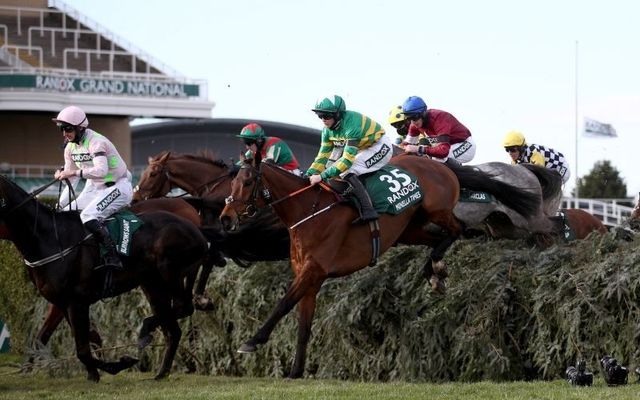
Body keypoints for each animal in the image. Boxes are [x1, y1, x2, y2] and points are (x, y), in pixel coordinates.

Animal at [0, 176, 208, 382]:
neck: (50, 238)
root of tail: (196, 229)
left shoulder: (76, 302)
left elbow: (83, 349)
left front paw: (115, 366)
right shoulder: (62, 303)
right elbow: (85, 339)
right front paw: (95, 371)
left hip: (169, 273)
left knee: (183, 307)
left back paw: (146, 330)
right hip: (152, 284)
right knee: (173, 328)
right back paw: (161, 371)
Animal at [219, 155, 540, 378]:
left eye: (247, 183)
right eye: (231, 183)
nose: (225, 218)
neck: (308, 212)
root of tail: (440, 164)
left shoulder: (313, 271)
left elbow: (283, 304)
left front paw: (252, 341)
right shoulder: (310, 279)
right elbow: (303, 326)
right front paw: (296, 371)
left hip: (436, 209)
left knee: (458, 229)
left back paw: (435, 270)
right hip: (411, 228)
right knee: (439, 238)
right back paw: (434, 271)